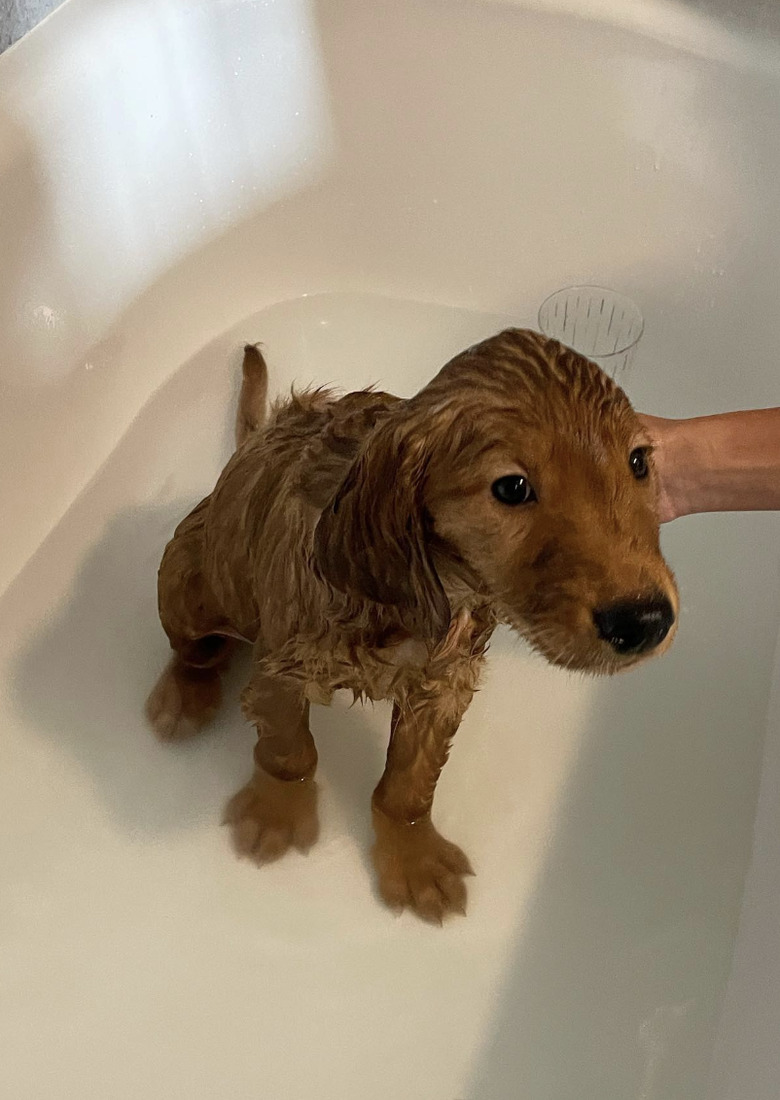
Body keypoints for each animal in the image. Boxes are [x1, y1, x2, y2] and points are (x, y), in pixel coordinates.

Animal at [146, 330, 673, 924]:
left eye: (638, 461)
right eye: (512, 488)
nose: (646, 620)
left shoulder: (443, 687)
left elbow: (408, 787)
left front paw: (414, 856)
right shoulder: (282, 670)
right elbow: (289, 751)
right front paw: (276, 811)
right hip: (188, 578)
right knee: (195, 649)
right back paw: (183, 698)